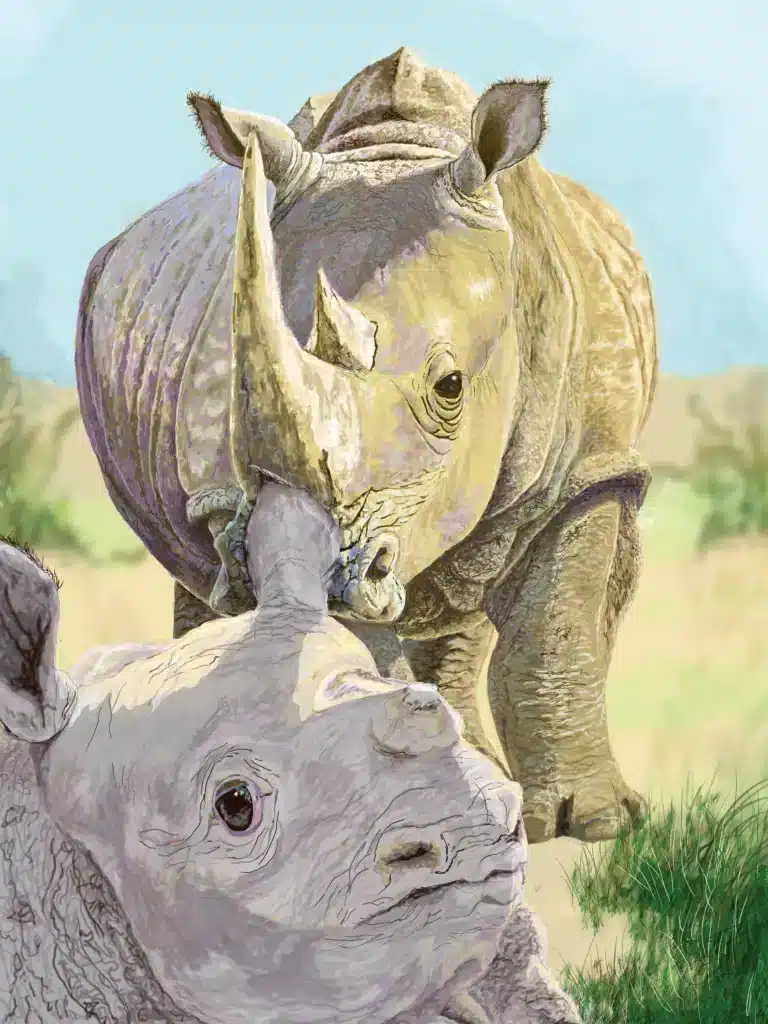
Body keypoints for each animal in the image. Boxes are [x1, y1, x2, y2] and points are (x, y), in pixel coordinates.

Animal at [75, 47, 658, 843]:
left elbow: (557, 624)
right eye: (239, 392)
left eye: (451, 386)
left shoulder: (595, 464)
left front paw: (593, 822)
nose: (332, 574)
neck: (402, 147)